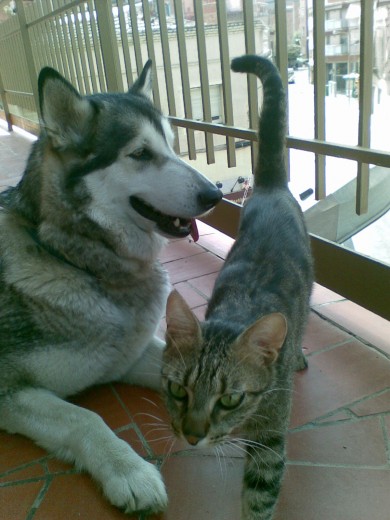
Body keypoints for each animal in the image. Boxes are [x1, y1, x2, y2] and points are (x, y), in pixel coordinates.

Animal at [0, 59, 222, 512]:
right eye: (140, 154)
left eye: (172, 146)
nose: (216, 194)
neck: (75, 260)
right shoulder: (8, 388)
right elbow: (85, 417)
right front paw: (129, 470)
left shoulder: (129, 354)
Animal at [161, 54, 314, 516]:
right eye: (178, 390)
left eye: (230, 399)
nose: (192, 436)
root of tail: (268, 186)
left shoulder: (269, 440)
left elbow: (259, 500)